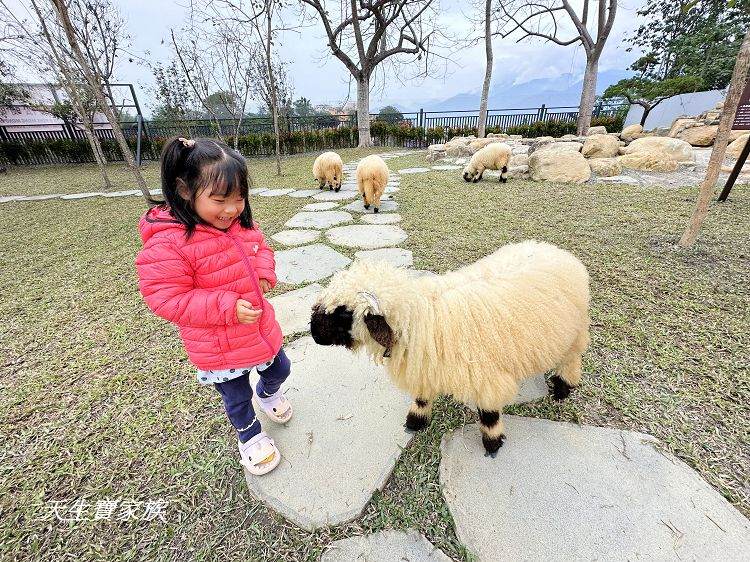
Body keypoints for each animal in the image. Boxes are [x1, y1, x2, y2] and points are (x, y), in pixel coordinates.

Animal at [308, 240, 592, 456]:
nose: (313, 333)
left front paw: (492, 443)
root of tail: (556, 250)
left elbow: (489, 413)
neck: (421, 320)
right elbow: (422, 397)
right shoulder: (425, 367)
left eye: (344, 313)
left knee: (572, 360)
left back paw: (563, 388)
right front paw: (415, 421)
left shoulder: (485, 379)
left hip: (574, 333)